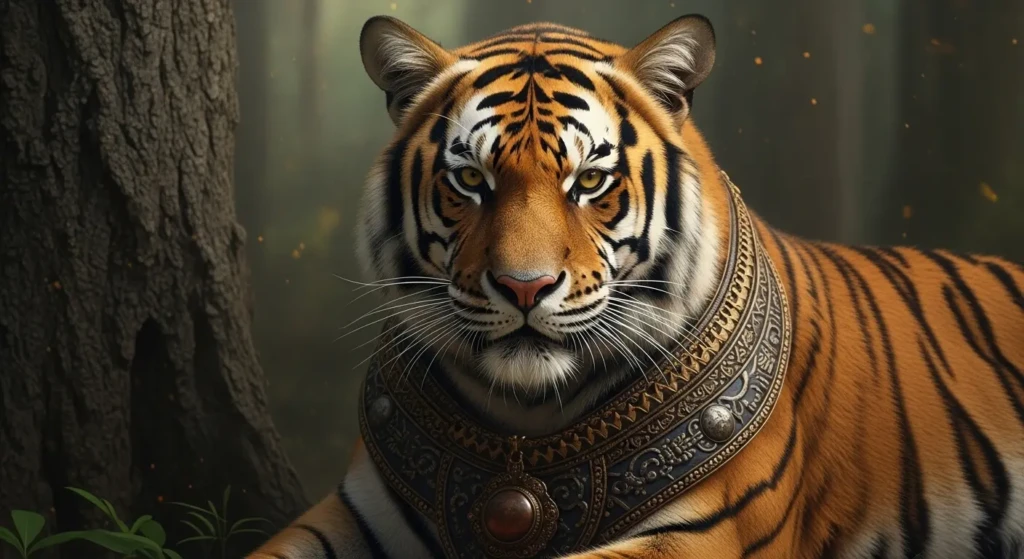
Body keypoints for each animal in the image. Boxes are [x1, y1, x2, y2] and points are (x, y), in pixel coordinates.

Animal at [248, 13, 1024, 559]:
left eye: (590, 181)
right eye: (470, 179)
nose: (524, 288)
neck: (522, 421)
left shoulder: (704, 530)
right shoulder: (355, 510)